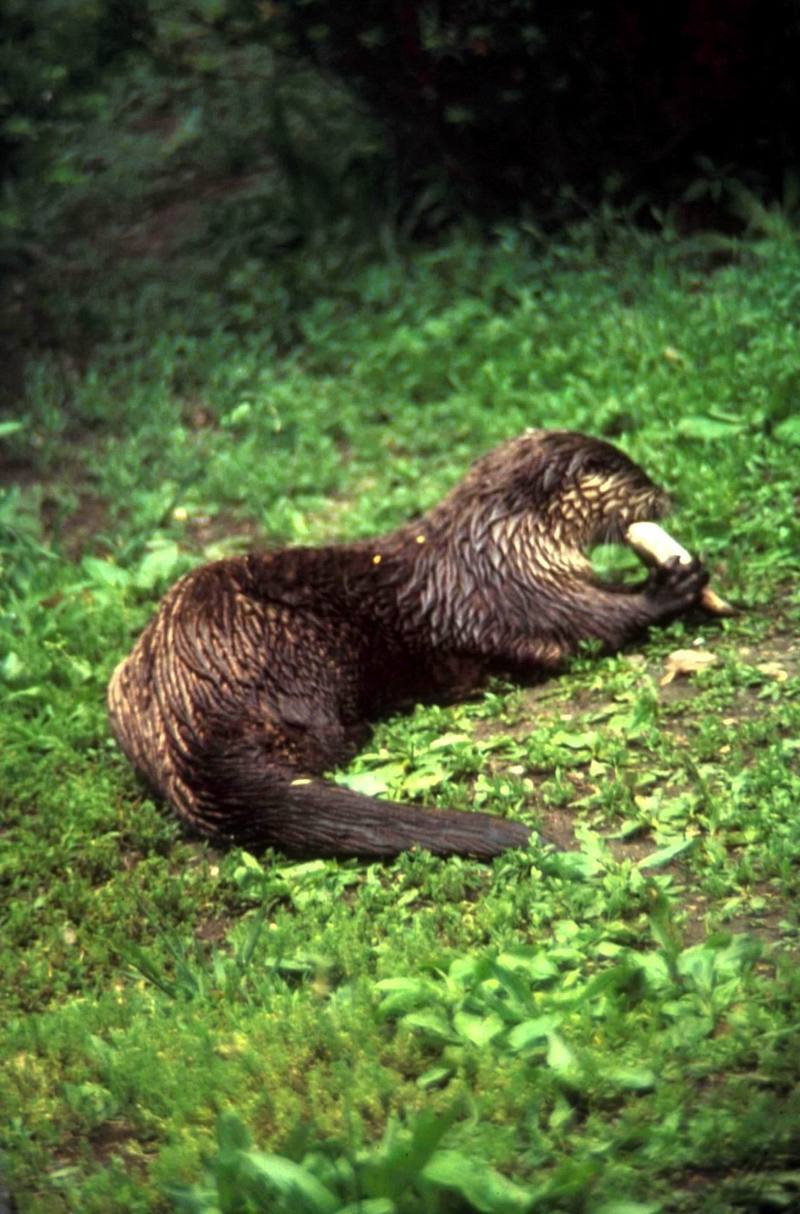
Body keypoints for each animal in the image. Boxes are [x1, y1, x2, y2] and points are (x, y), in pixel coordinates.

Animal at [108, 432, 713, 859]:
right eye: (636, 476)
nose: (670, 494)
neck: (502, 542)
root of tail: (184, 720)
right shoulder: (528, 593)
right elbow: (596, 622)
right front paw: (676, 582)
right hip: (288, 654)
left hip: (120, 688)